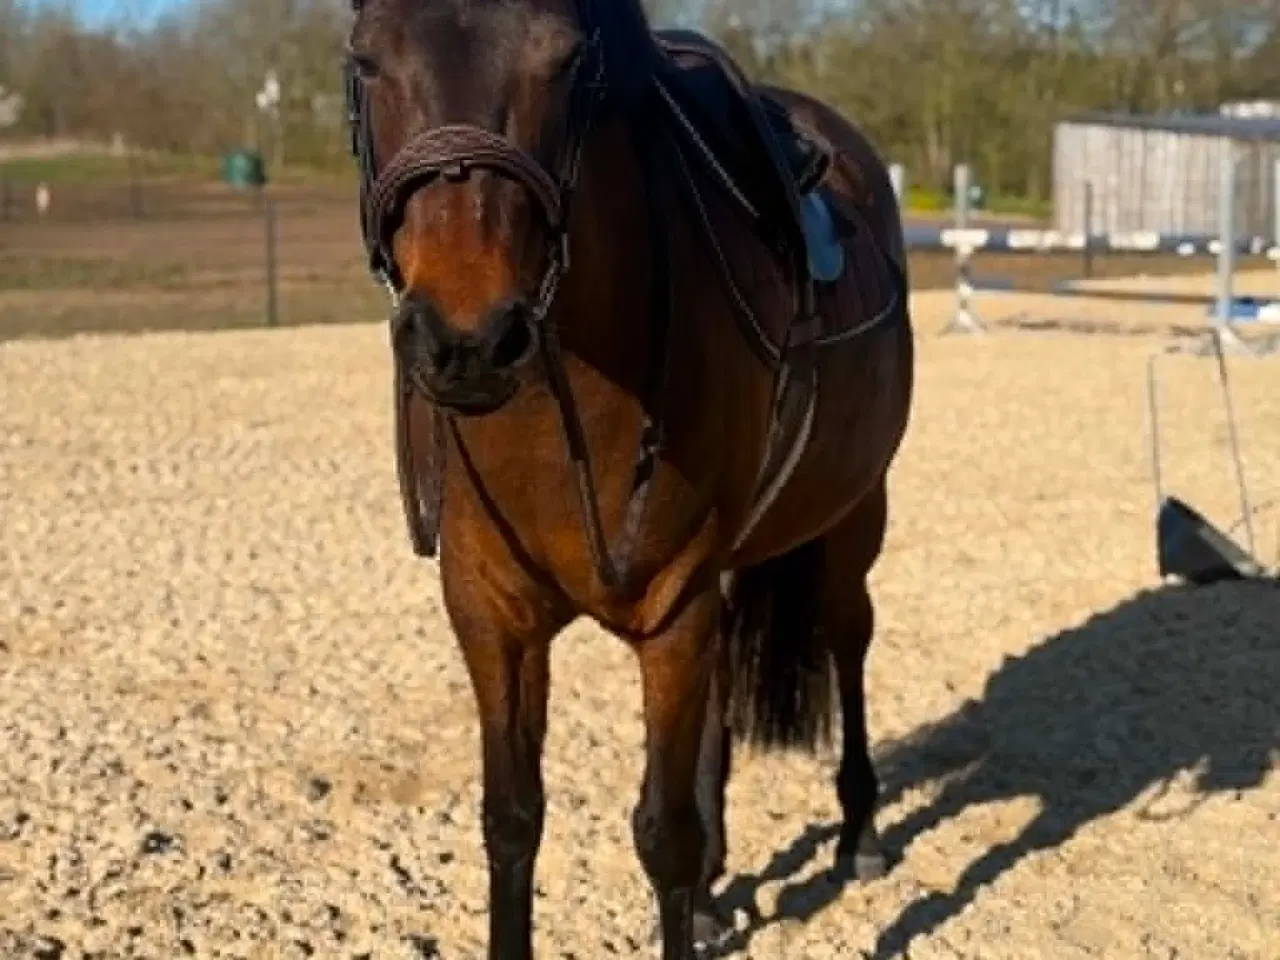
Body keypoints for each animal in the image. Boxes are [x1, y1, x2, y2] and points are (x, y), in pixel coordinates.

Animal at [341, 1, 915, 957]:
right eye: (366, 61)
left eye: (572, 63)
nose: (467, 340)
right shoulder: (490, 612)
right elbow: (512, 821)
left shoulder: (673, 609)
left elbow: (663, 836)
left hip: (852, 515)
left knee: (849, 637)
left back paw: (861, 831)